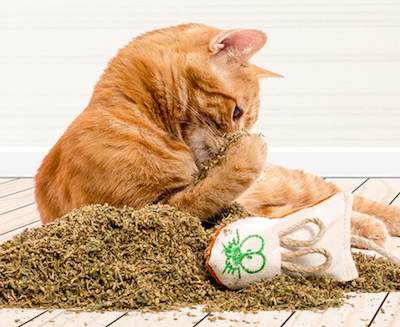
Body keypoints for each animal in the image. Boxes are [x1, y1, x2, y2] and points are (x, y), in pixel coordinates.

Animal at [36, 24, 398, 247]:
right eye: (236, 113)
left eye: (246, 119)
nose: (241, 137)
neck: (137, 112)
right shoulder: (152, 209)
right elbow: (212, 188)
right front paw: (250, 151)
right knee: (317, 211)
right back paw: (368, 230)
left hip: (289, 184)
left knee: (340, 197)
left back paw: (383, 224)